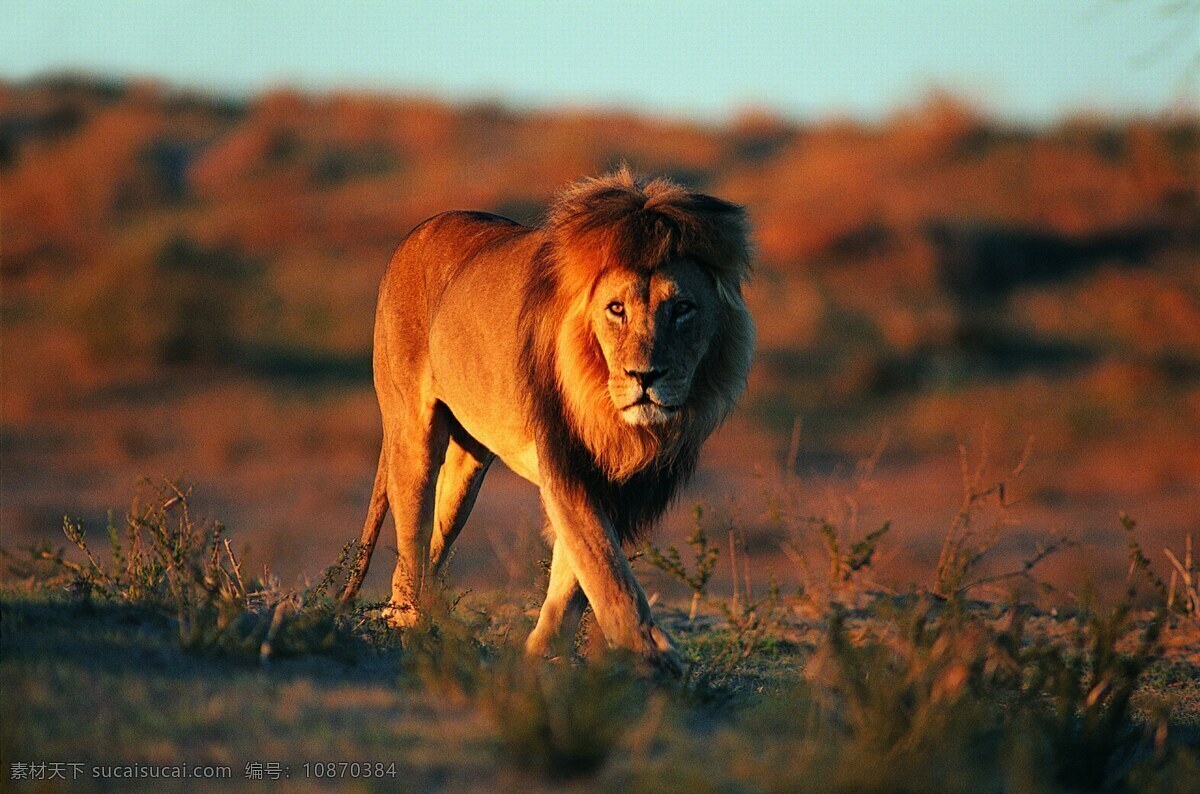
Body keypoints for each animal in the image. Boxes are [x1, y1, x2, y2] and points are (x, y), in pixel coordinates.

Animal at [338, 169, 748, 676]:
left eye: (683, 308)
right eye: (616, 309)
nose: (645, 376)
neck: (619, 419)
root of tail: (417, 231)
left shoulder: (618, 480)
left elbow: (573, 576)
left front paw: (542, 652)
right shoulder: (565, 461)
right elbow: (603, 565)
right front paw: (651, 652)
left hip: (468, 465)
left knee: (433, 540)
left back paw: (422, 620)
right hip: (413, 433)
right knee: (411, 536)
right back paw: (409, 625)